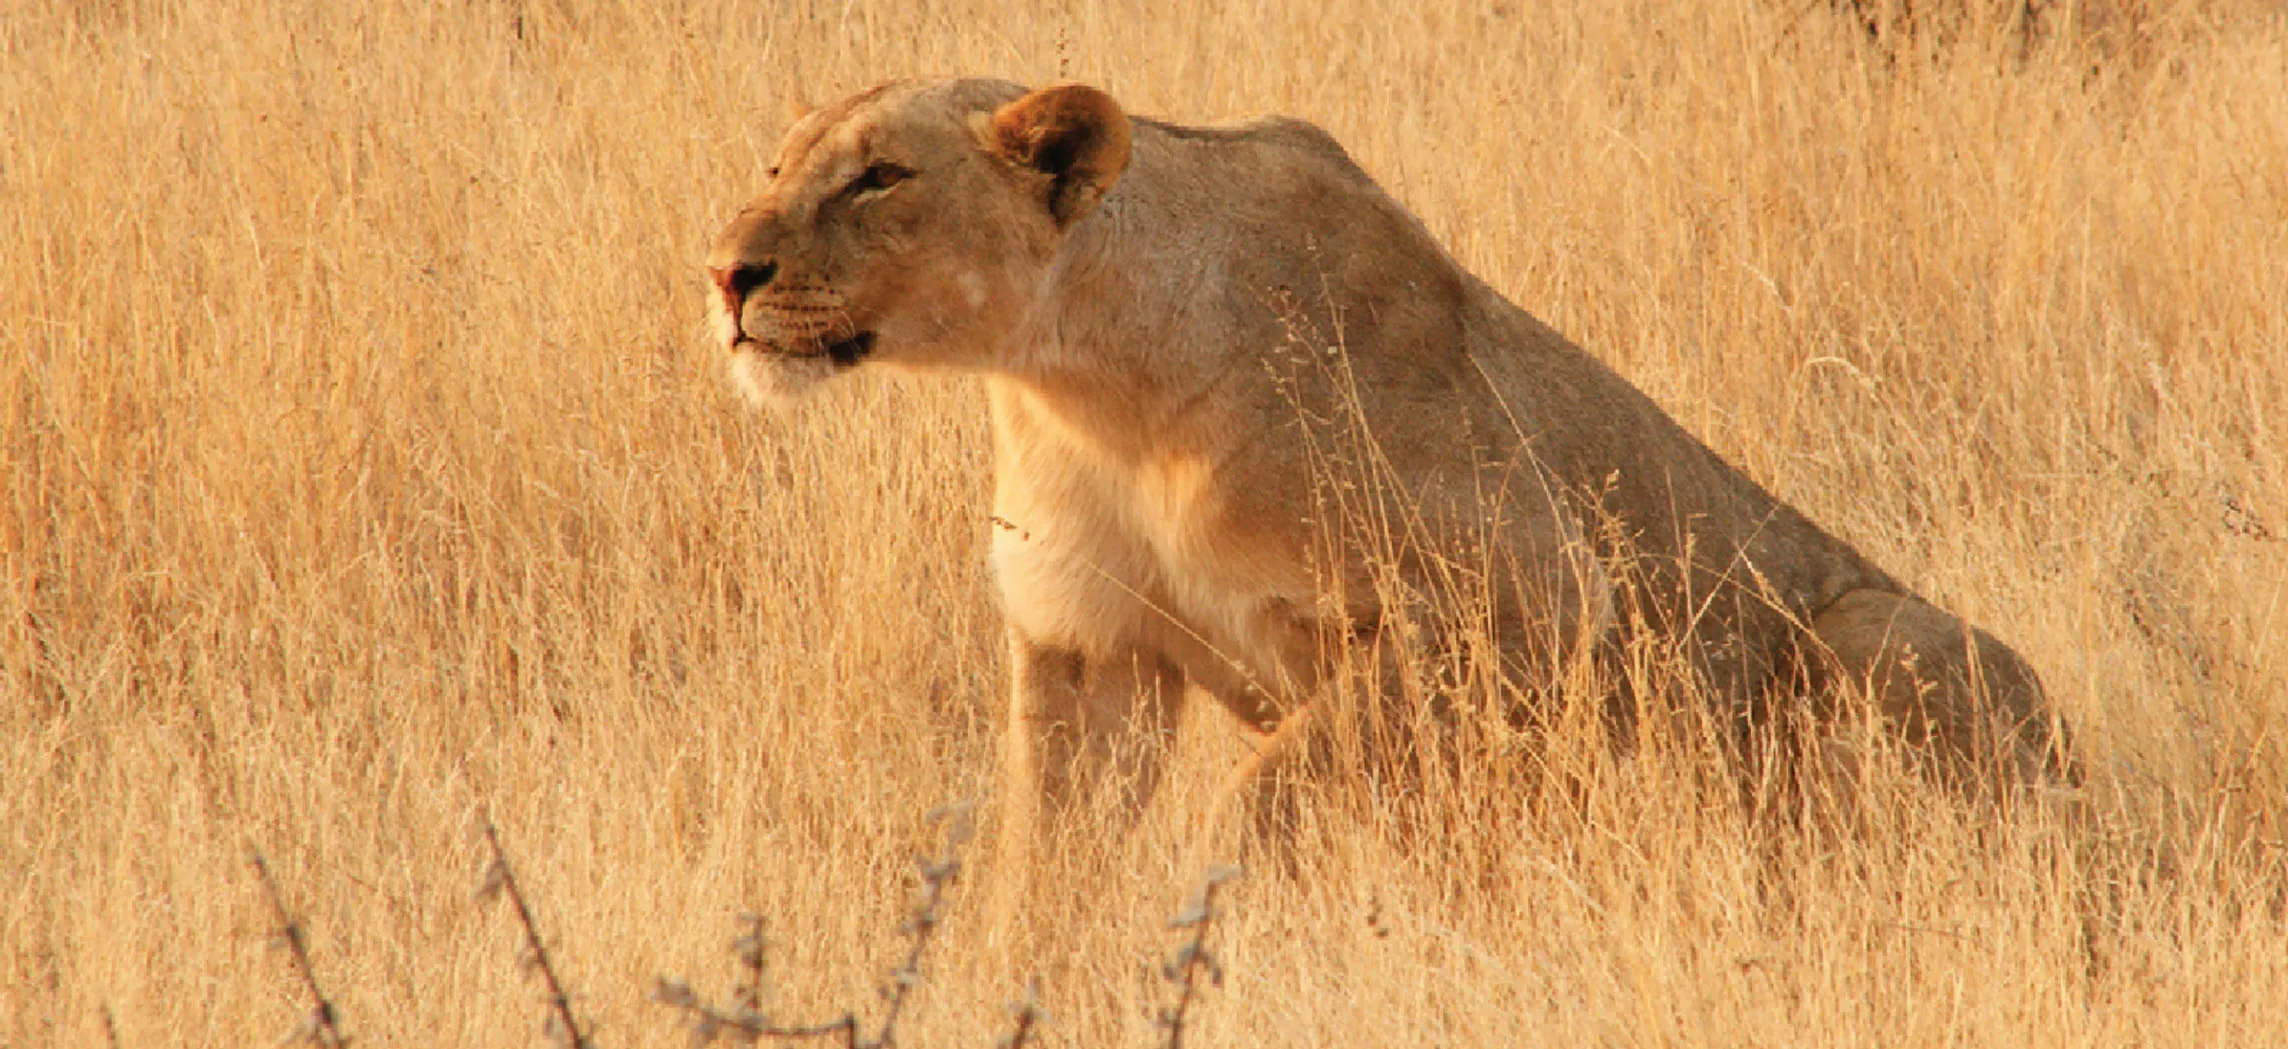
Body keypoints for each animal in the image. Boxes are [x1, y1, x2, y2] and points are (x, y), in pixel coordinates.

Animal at [704, 77, 2074, 902]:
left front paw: (1209, 905)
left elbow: (1281, 776)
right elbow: (1046, 864)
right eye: (770, 165)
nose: (725, 270)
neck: (1090, 387)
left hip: (1884, 636)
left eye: (879, 177)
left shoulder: (1526, 605)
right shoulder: (1088, 644)